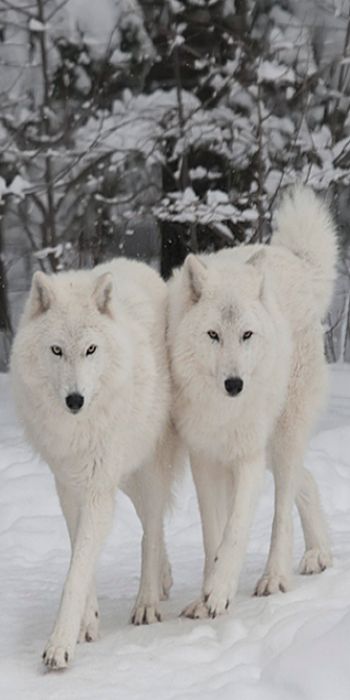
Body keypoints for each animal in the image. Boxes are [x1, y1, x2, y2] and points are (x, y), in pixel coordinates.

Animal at [10, 258, 183, 668]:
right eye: (56, 350)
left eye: (91, 349)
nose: (75, 399)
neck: (78, 429)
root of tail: (138, 265)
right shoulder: (68, 486)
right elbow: (79, 553)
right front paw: (87, 621)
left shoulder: (97, 490)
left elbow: (78, 568)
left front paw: (59, 644)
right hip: (127, 478)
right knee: (153, 526)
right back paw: (164, 580)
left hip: (148, 470)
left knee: (151, 530)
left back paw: (147, 602)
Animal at [168, 185, 338, 616]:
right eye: (213, 335)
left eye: (246, 334)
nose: (234, 384)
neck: (223, 411)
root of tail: (294, 261)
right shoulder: (205, 458)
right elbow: (213, 532)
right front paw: (205, 595)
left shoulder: (247, 456)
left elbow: (236, 528)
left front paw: (220, 590)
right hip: (270, 449)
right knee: (306, 480)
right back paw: (318, 553)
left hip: (282, 436)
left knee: (282, 508)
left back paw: (276, 576)